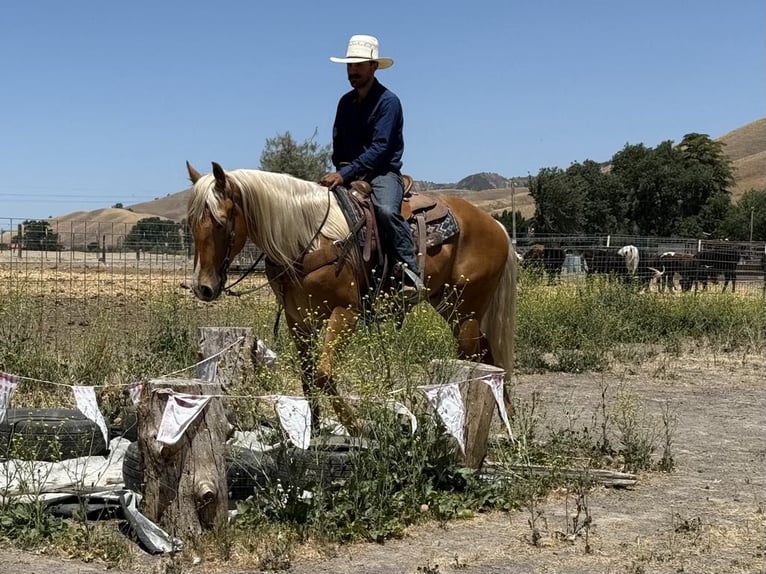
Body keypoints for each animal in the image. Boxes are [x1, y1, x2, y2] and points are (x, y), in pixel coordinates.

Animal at [185, 161, 517, 440]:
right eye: (191, 223)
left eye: (221, 221)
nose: (204, 288)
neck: (309, 239)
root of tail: (497, 226)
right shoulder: (298, 320)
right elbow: (308, 377)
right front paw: (313, 431)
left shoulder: (346, 313)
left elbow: (323, 373)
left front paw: (355, 426)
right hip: (451, 306)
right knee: (488, 356)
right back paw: (507, 422)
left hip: (466, 309)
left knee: (476, 358)